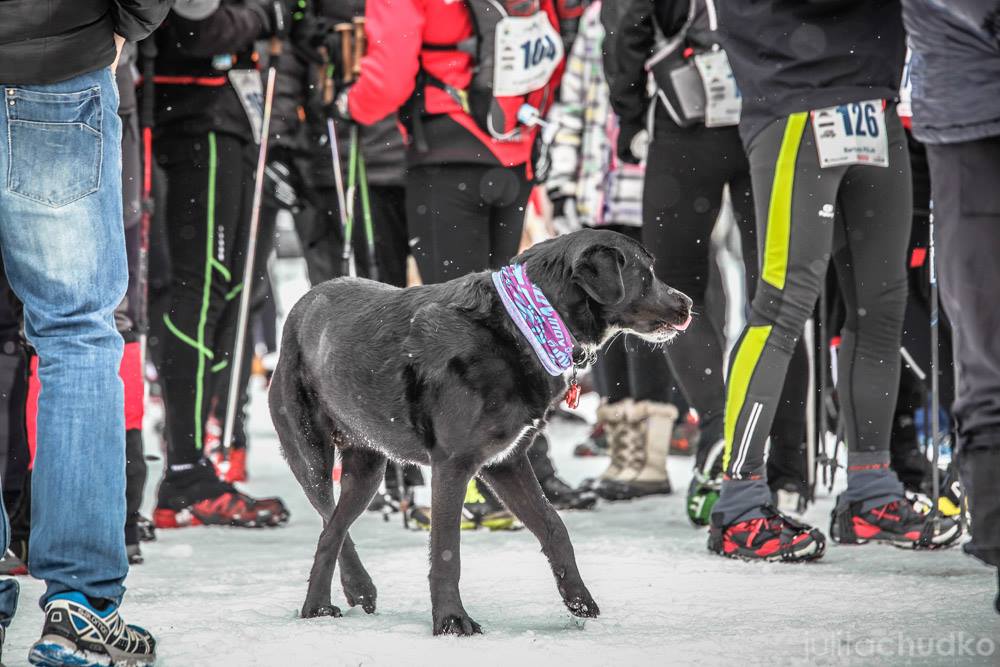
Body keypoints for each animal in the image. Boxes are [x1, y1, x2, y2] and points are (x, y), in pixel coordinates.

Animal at [274, 230, 696, 636]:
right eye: (646, 273)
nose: (688, 303)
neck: (525, 324)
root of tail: (301, 303)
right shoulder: (453, 465)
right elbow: (447, 552)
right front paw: (451, 621)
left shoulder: (506, 463)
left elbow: (554, 527)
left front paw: (578, 600)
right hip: (310, 456)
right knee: (328, 519)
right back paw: (319, 606)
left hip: (367, 465)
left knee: (332, 530)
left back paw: (343, 595)